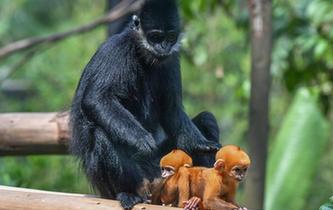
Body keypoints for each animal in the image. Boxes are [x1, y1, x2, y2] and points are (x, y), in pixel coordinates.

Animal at [70, 0, 220, 209]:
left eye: (170, 37)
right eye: (156, 37)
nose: (164, 46)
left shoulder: (172, 57)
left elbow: (172, 109)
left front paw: (201, 144)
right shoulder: (117, 48)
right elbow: (95, 98)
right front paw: (141, 139)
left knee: (206, 118)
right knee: (100, 134)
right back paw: (129, 193)